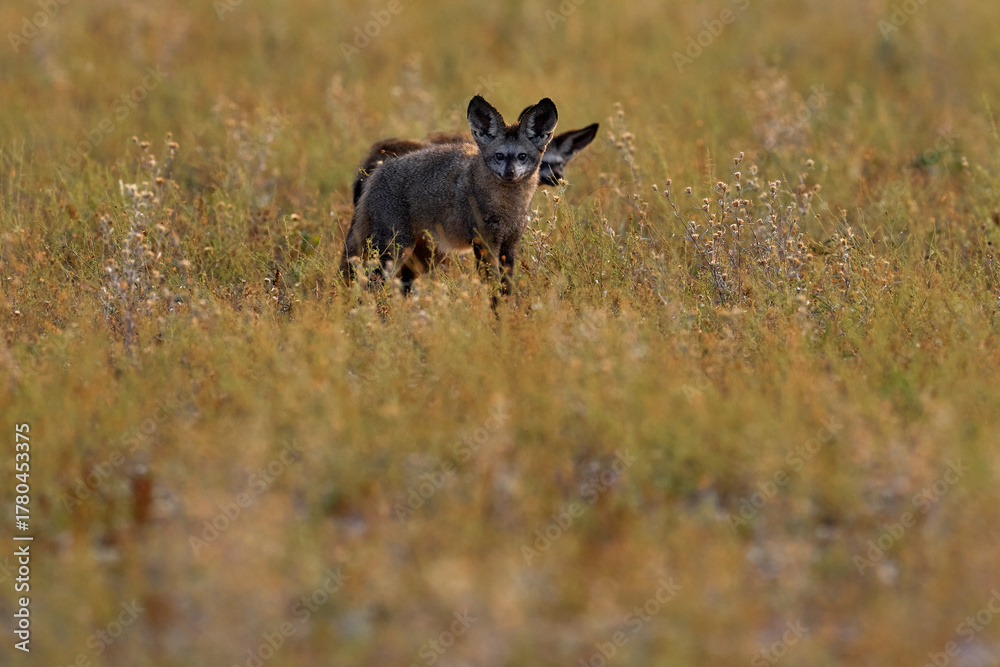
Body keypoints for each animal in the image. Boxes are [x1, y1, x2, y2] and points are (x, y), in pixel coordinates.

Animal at [340, 95, 559, 300]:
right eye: (499, 156)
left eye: (522, 156)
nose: (510, 173)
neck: (507, 208)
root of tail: (377, 173)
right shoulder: (484, 244)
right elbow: (493, 290)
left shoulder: (509, 244)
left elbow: (507, 290)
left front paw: (508, 313)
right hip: (394, 251)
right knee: (371, 284)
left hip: (425, 257)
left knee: (401, 286)